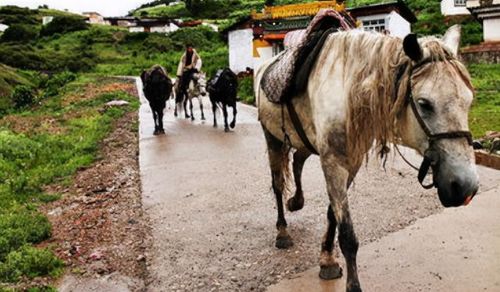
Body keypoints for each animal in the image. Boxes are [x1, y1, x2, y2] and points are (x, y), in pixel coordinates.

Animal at [256, 25, 478, 292]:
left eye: (469, 101)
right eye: (424, 103)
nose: (466, 187)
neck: (347, 91)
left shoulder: (351, 163)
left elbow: (333, 214)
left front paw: (327, 258)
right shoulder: (333, 163)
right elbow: (347, 235)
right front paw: (349, 281)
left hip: (304, 142)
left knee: (298, 161)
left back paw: (296, 201)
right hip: (273, 138)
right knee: (278, 183)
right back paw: (282, 232)